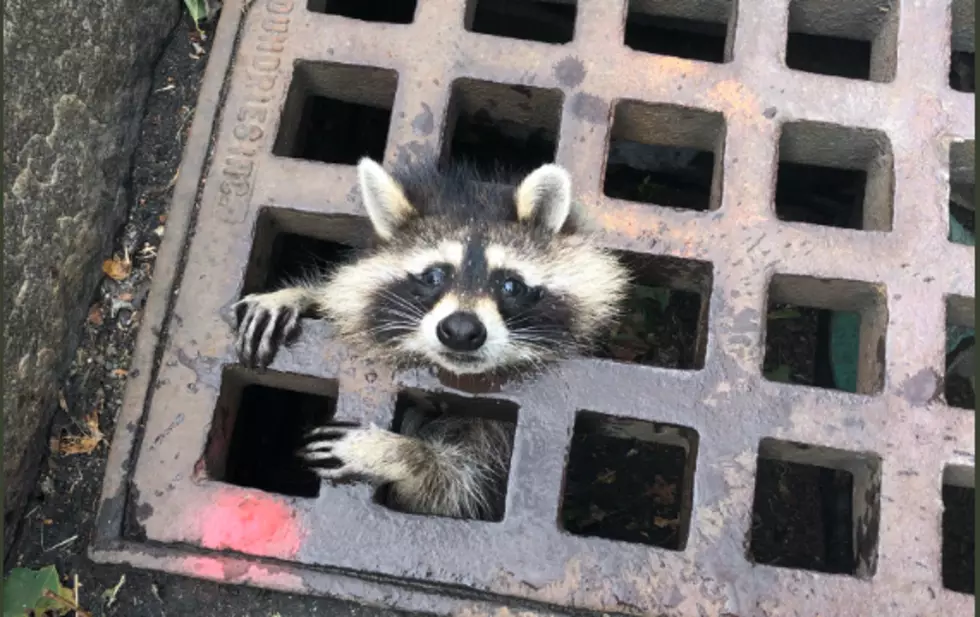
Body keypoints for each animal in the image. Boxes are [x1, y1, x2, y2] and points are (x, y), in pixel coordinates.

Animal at [232, 155, 628, 520]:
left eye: (511, 285)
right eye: (434, 276)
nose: (461, 331)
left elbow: (455, 489)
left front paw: (399, 453)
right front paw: (299, 295)